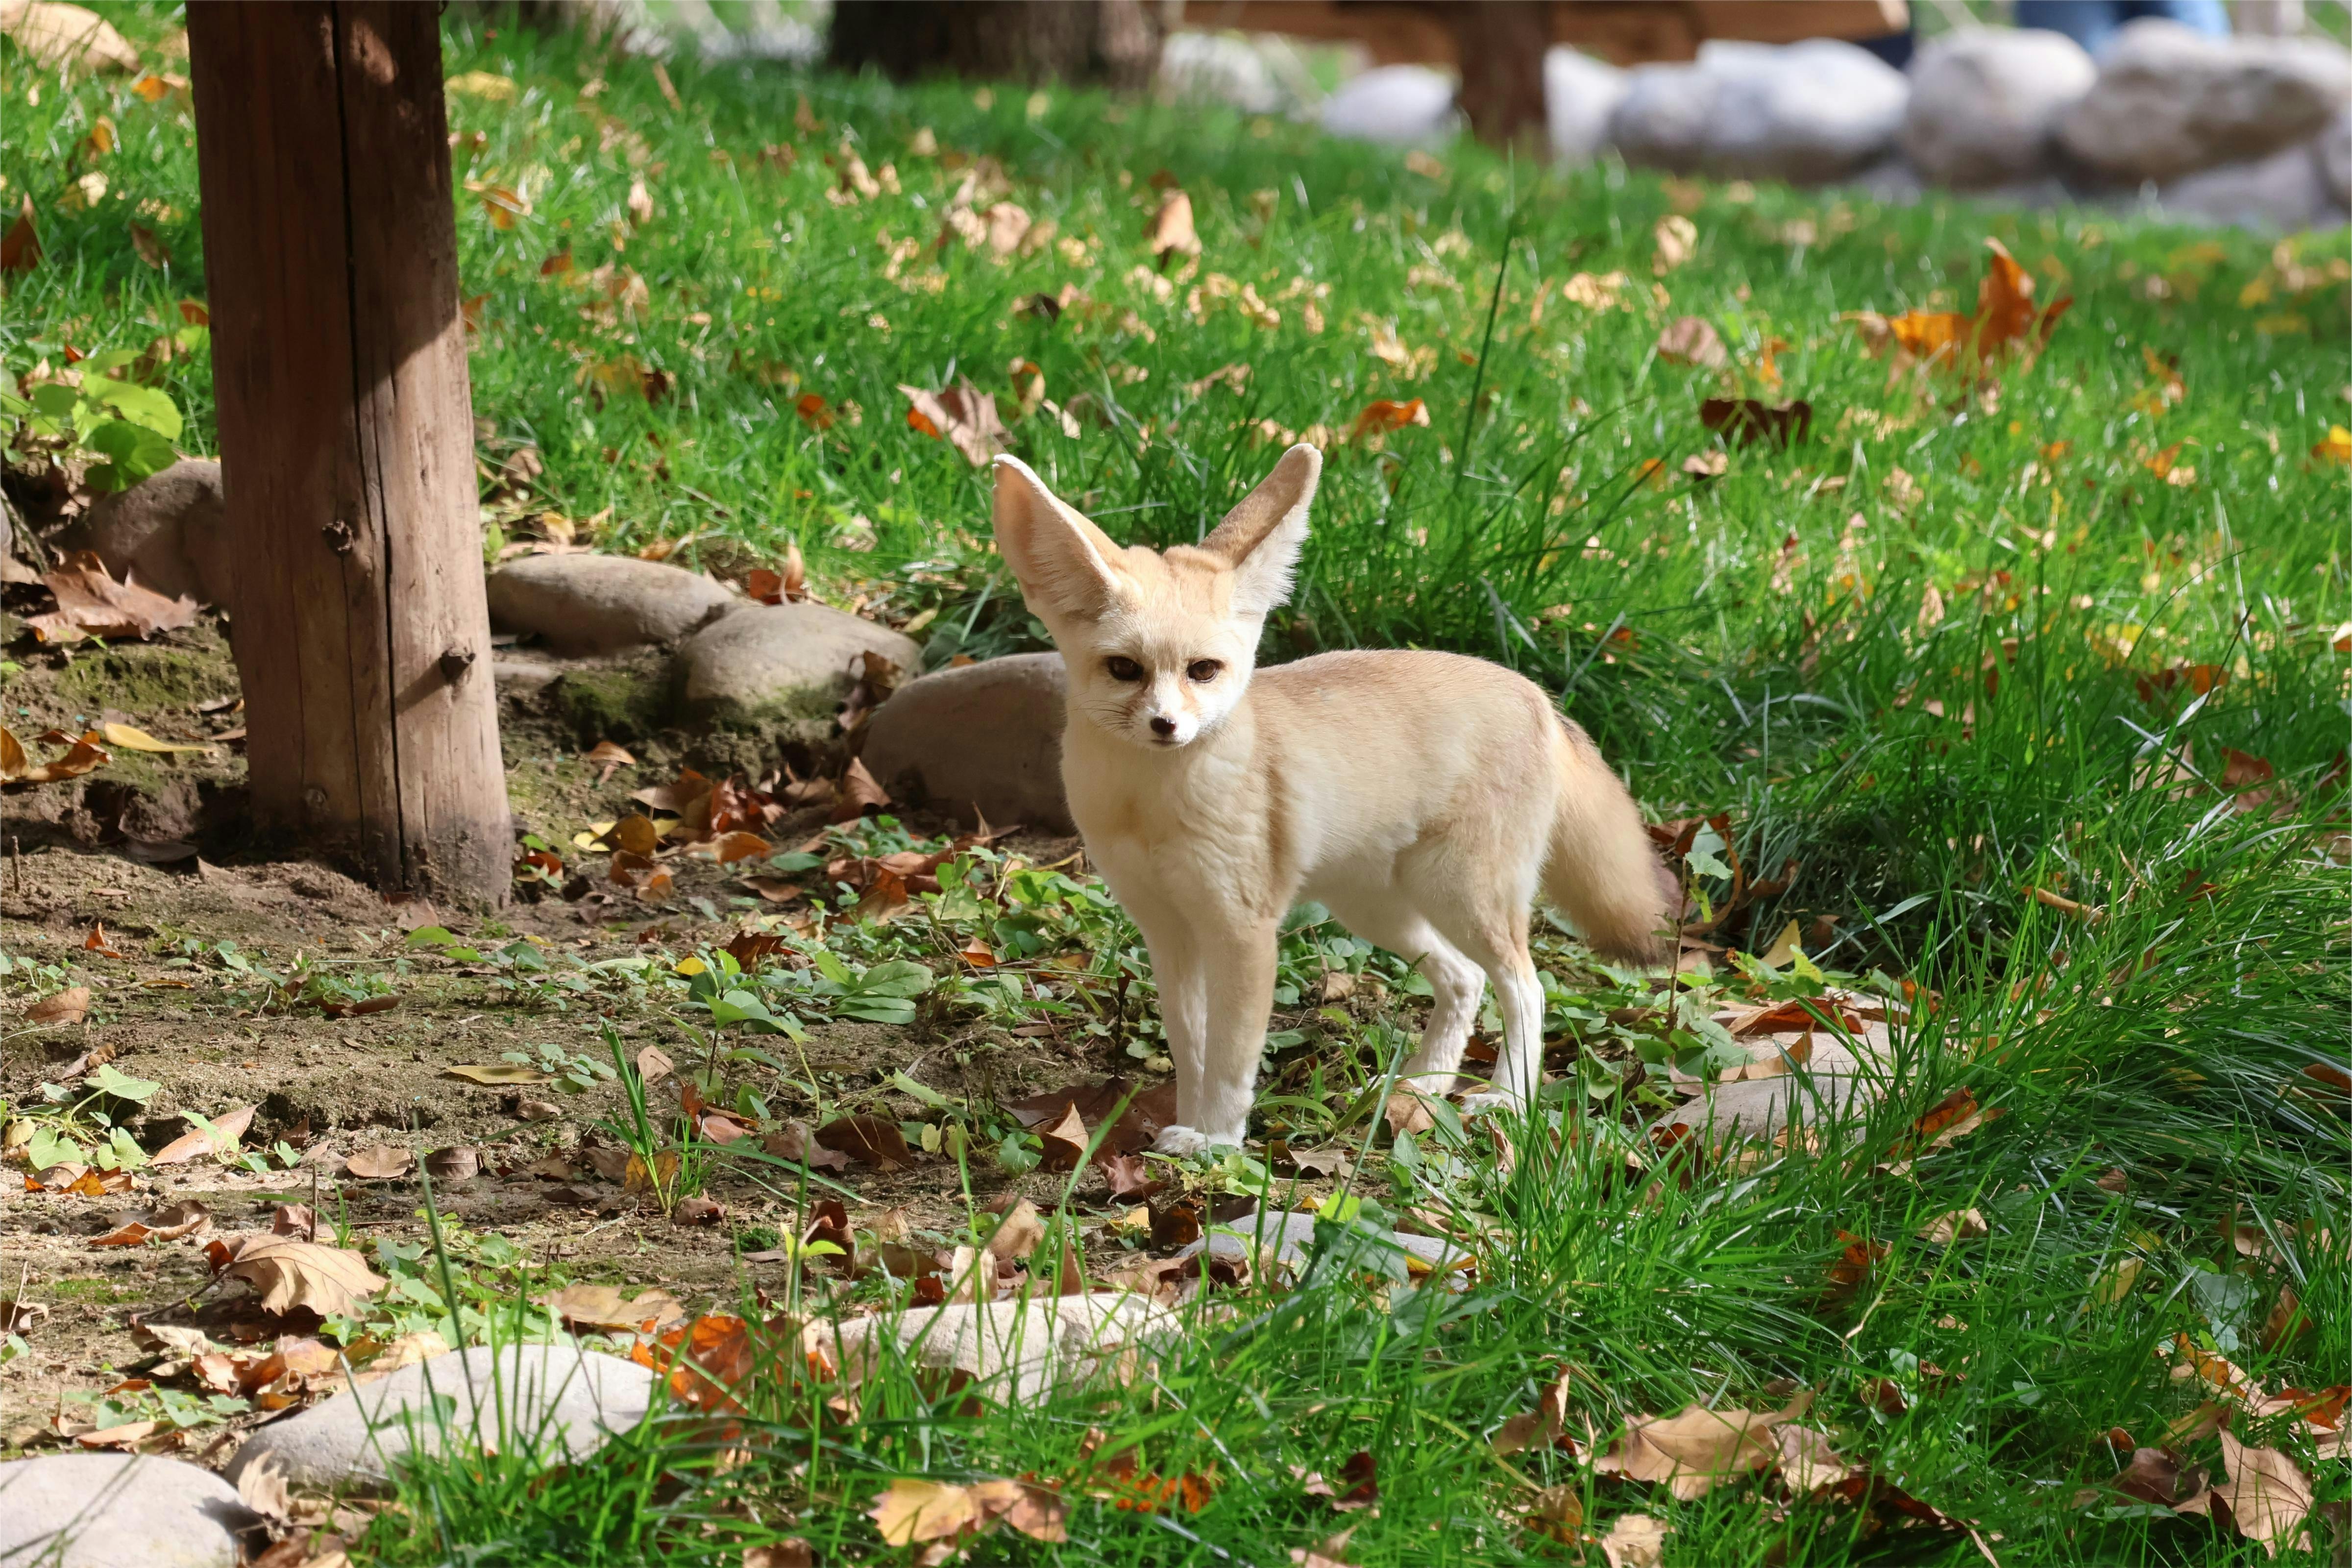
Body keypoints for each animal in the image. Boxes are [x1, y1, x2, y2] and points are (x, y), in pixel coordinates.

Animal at [992, 441, 1674, 1152]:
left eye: (1203, 671)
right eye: (1125, 669)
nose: (1166, 726)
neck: (1149, 810)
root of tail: (1536, 692)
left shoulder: (1242, 931)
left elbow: (1232, 1058)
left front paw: (1217, 1144)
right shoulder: (1168, 930)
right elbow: (1192, 1049)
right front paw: (1185, 1127)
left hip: (1462, 897)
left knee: (1527, 987)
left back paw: (1508, 1098)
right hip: (1380, 910)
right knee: (1465, 979)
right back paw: (1423, 1089)